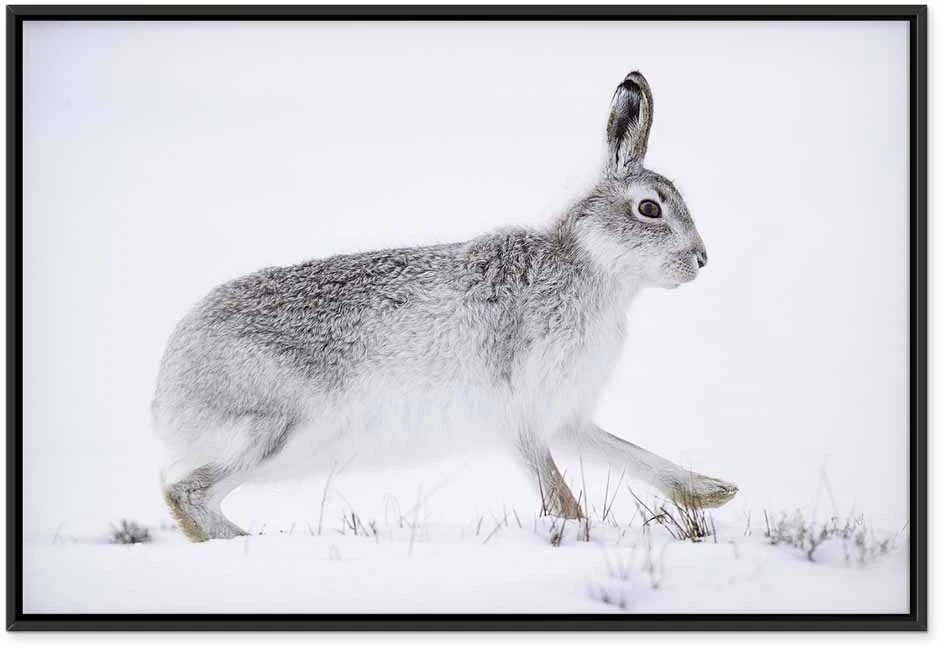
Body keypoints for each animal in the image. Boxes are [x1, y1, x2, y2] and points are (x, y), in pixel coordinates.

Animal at [153, 71, 738, 542]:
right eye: (649, 209)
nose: (702, 259)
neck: (591, 267)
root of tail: (167, 390)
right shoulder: (522, 411)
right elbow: (557, 492)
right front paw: (580, 532)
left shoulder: (565, 415)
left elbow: (629, 453)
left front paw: (712, 492)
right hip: (274, 429)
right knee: (186, 494)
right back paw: (248, 543)